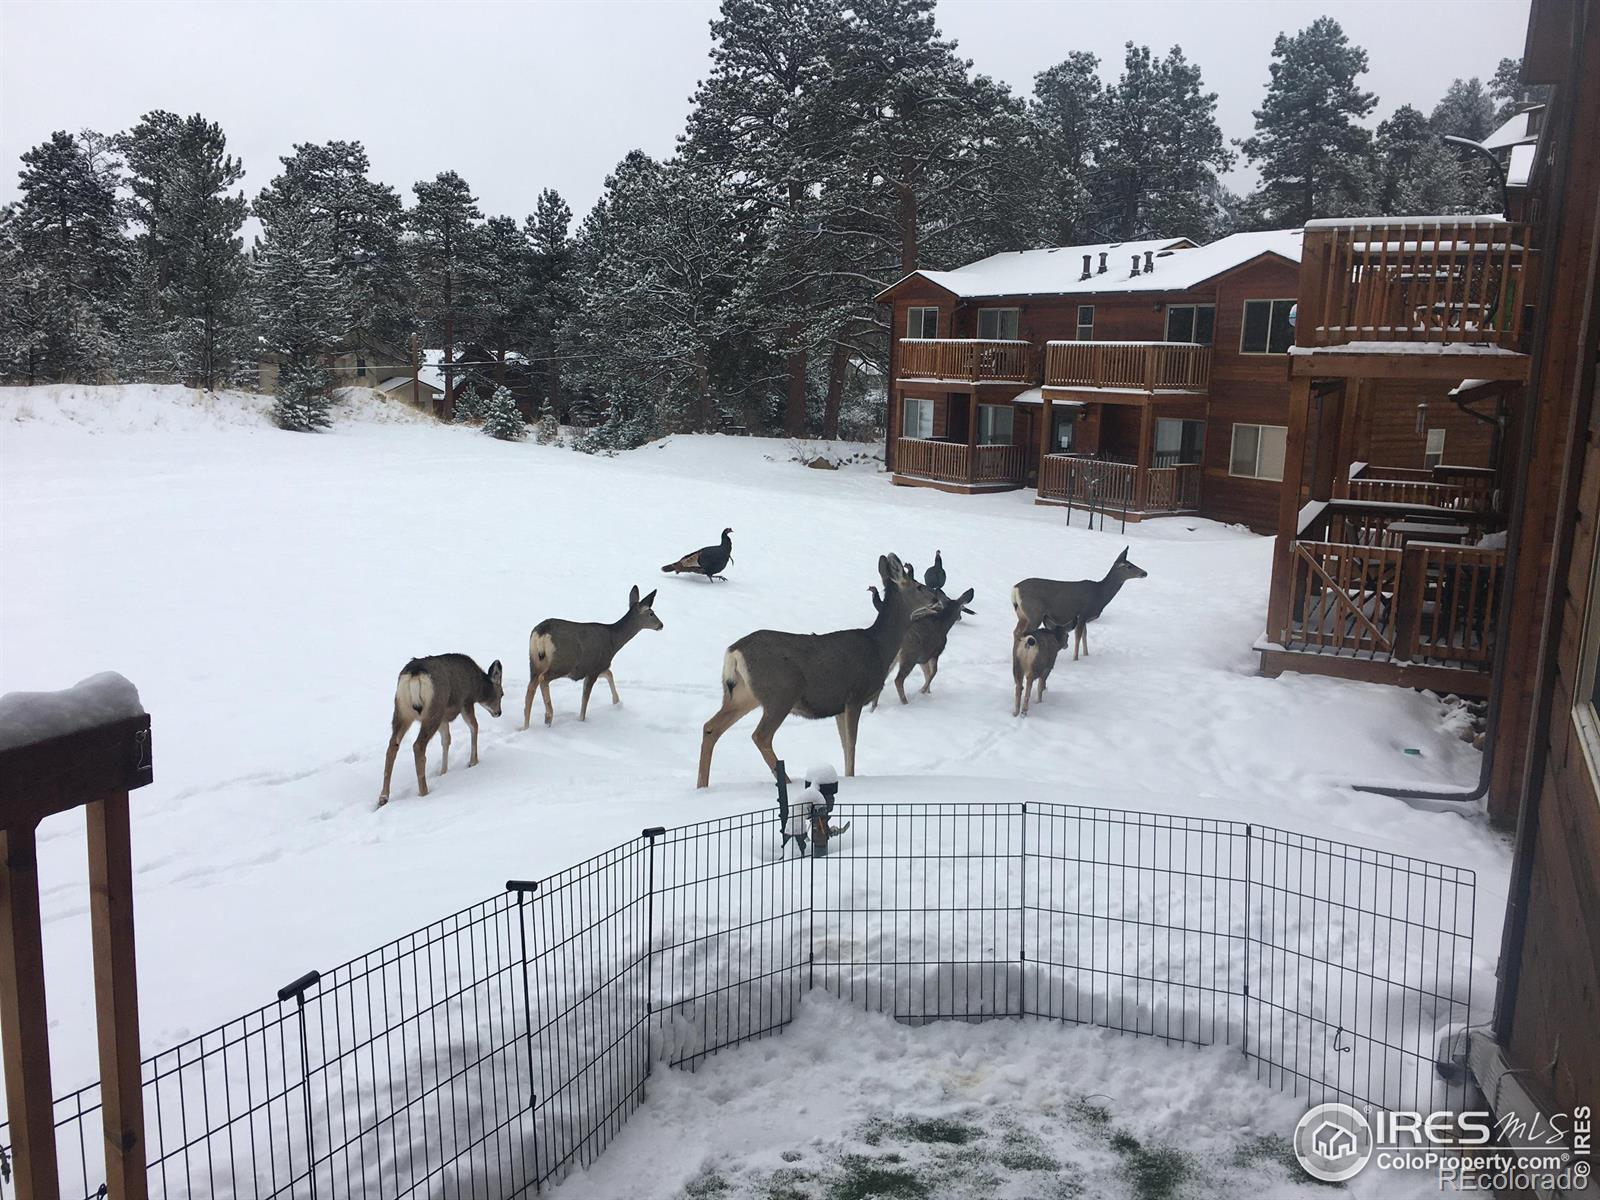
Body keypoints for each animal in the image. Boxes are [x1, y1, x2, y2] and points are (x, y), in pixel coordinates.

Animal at [377, 659, 502, 809]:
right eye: (502, 694)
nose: (499, 713)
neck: (477, 685)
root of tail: (415, 674)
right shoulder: (466, 701)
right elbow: (474, 727)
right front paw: (473, 762)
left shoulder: (444, 718)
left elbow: (446, 739)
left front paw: (443, 772)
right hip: (434, 708)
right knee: (418, 745)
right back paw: (424, 791)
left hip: (402, 709)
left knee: (392, 745)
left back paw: (383, 797)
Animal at [518, 585, 656, 729]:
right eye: (651, 613)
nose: (661, 625)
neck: (613, 641)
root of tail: (541, 632)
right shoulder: (594, 667)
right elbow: (586, 697)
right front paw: (582, 719)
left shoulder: (595, 667)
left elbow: (609, 674)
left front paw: (617, 702)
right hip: (564, 662)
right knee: (543, 679)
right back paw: (548, 716)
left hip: (534, 660)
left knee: (531, 688)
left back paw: (526, 726)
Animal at [697, 553, 934, 790]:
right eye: (919, 586)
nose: (937, 600)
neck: (879, 648)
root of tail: (733, 652)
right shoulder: (855, 695)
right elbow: (852, 744)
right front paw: (852, 778)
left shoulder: (839, 706)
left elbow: (844, 744)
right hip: (781, 692)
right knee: (760, 736)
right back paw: (788, 780)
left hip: (743, 694)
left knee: (711, 727)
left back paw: (702, 786)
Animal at [1011, 547, 1152, 662]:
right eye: (1129, 566)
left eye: (1132, 563)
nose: (1145, 572)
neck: (1100, 595)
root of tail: (1015, 588)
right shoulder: (1083, 613)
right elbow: (1078, 636)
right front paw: (1075, 659)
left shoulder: (1085, 617)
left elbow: (1085, 635)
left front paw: (1086, 654)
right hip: (1034, 613)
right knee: (1025, 633)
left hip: (1022, 615)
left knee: (1016, 632)